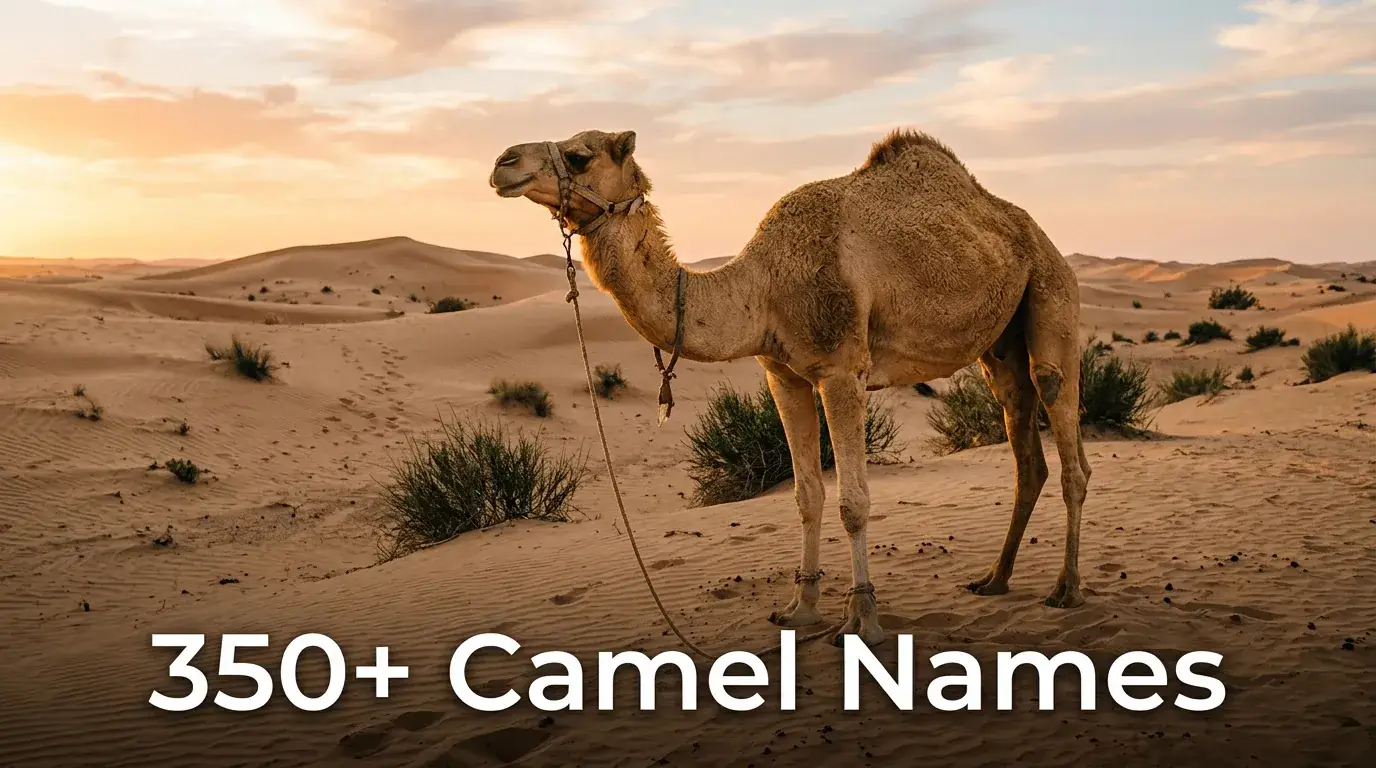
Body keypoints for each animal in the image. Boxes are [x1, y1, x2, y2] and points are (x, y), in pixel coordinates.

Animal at [489, 128, 1090, 646]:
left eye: (579, 156)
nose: (502, 162)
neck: (762, 287)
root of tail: (1034, 232)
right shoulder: (785, 376)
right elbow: (806, 495)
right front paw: (800, 610)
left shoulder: (841, 369)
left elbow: (853, 502)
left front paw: (862, 619)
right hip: (1000, 347)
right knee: (1027, 454)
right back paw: (995, 579)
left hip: (1052, 294)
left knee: (1067, 442)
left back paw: (1065, 590)